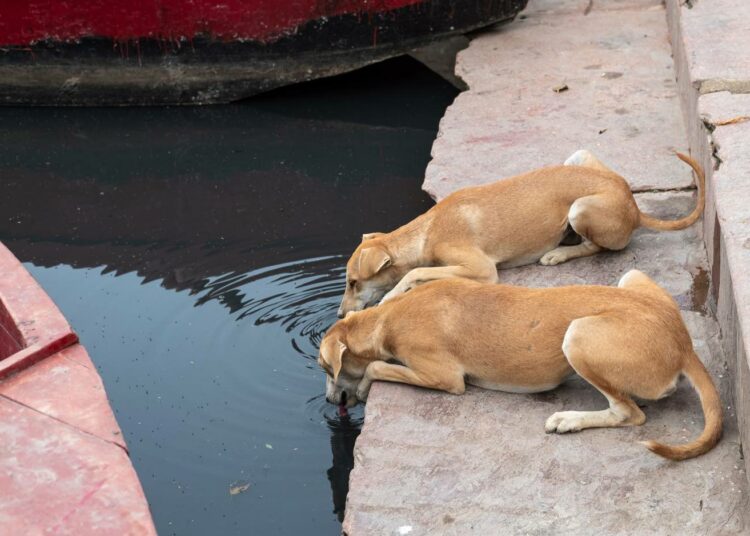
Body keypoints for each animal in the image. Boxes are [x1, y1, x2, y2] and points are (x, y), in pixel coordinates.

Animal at [322, 272, 724, 460]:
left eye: (326, 369)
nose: (327, 402)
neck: (386, 319)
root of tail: (683, 344)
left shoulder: (443, 377)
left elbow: (375, 368)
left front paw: (362, 388)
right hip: (631, 278)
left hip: (578, 336)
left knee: (629, 413)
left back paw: (570, 420)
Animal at [338, 150, 708, 318]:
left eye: (353, 282)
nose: (340, 315)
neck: (427, 229)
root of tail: (633, 202)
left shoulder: (484, 271)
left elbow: (415, 273)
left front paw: (390, 296)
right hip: (578, 156)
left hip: (581, 209)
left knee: (597, 247)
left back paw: (559, 252)